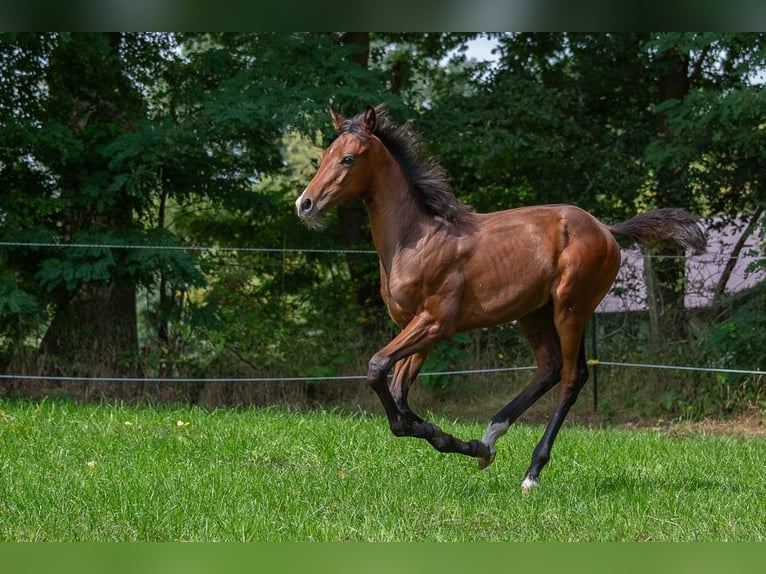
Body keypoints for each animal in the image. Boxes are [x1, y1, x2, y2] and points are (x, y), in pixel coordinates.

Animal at [296, 106, 708, 492]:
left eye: (348, 159)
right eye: (324, 155)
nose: (305, 204)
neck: (415, 238)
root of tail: (605, 229)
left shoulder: (435, 323)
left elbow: (378, 369)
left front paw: (442, 434)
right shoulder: (417, 328)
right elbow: (398, 396)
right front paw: (458, 441)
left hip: (571, 308)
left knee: (572, 376)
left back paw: (532, 473)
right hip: (534, 314)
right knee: (549, 368)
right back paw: (490, 437)